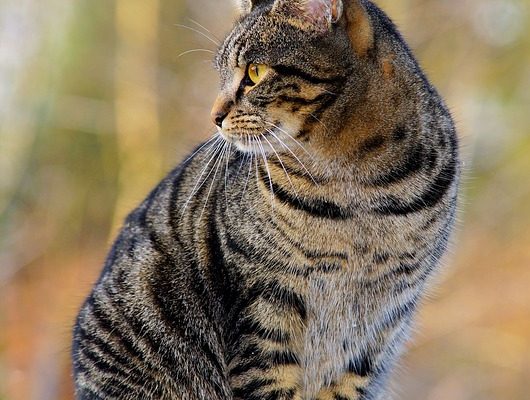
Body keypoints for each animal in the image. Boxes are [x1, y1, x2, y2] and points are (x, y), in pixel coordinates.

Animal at [71, 0, 458, 400]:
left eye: (254, 73)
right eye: (221, 74)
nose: (214, 117)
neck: (357, 185)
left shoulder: (379, 326)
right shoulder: (265, 303)